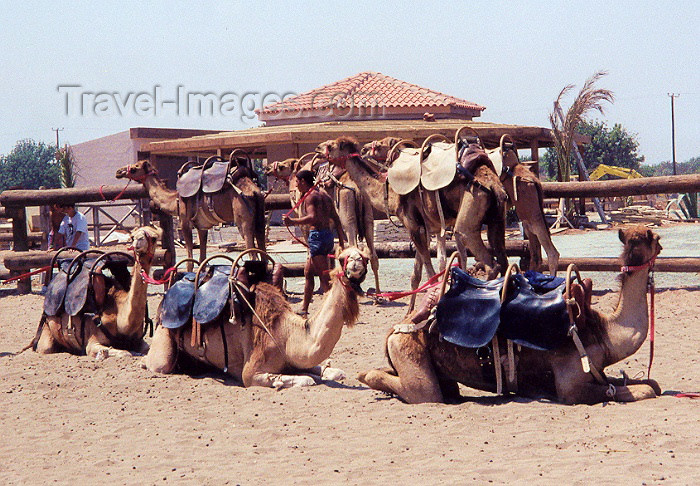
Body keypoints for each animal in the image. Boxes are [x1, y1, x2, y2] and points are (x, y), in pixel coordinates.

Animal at [32, 226, 161, 358]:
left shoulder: (138, 340)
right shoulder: (93, 342)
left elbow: (145, 349)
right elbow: (124, 353)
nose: (138, 242)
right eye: (132, 237)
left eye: (154, 238)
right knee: (45, 348)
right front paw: (103, 354)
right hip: (47, 332)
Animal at [115, 159, 266, 266]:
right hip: (259, 218)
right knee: (262, 252)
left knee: (252, 253)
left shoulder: (185, 222)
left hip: (243, 220)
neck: (174, 200)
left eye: (135, 167)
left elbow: (190, 261)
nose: (119, 171)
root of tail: (254, 191)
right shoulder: (202, 227)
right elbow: (202, 259)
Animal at [142, 247, 372, 388]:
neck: (286, 333)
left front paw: (329, 369)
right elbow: (306, 380)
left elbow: (331, 371)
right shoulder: (251, 372)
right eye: (342, 259)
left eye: (366, 257)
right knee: (156, 363)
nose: (356, 263)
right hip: (164, 342)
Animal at [318, 136, 508, 312]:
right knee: (503, 259)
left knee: (489, 262)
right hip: (497, 218)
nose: (318, 148)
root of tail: (493, 184)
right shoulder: (422, 228)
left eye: (331, 146)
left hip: (470, 208)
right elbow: (416, 274)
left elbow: (430, 272)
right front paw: (410, 313)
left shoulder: (412, 225)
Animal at [358, 226, 664, 404]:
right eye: (650, 237)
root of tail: (399, 327)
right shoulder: (571, 384)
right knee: (423, 393)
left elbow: (653, 383)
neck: (602, 332)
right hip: (407, 349)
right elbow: (644, 390)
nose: (661, 241)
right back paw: (365, 376)